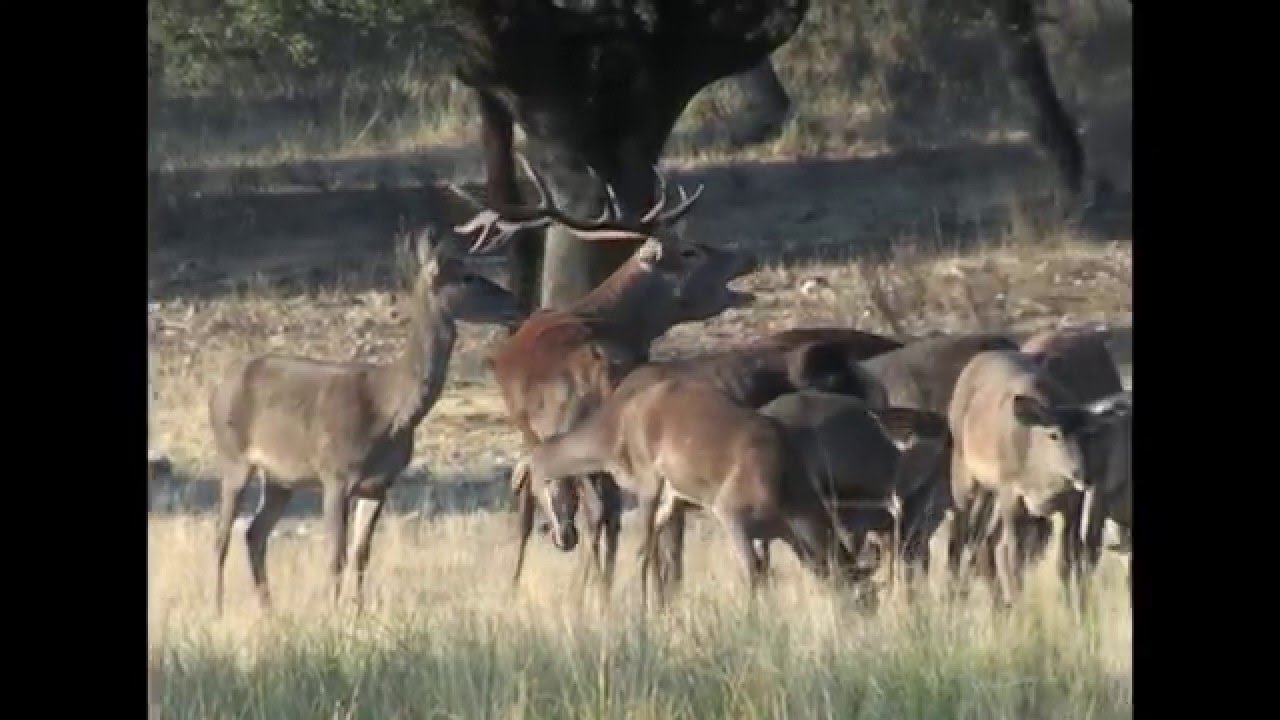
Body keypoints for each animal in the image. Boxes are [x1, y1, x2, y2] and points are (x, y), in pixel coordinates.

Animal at [208, 228, 522, 616]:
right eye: (468, 276)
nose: (517, 302)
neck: (389, 410)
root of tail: (219, 388)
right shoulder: (335, 475)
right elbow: (335, 556)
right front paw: (332, 613)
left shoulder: (379, 484)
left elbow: (361, 554)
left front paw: (357, 614)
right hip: (232, 457)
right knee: (222, 535)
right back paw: (218, 610)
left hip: (280, 477)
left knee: (254, 533)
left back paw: (269, 610)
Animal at [445, 153, 758, 594]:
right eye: (691, 251)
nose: (748, 254)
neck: (610, 318)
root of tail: (600, 366)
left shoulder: (533, 432)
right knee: (634, 509)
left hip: (573, 429)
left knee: (603, 509)